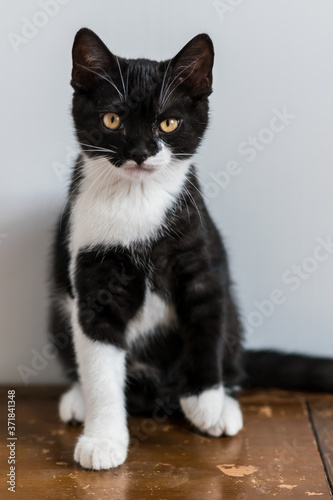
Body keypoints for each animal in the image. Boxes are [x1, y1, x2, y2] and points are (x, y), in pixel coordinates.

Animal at [49, 29, 332, 470]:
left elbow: (206, 325)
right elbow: (99, 364)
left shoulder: (202, 259)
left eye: (169, 122)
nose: (141, 152)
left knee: (233, 358)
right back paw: (79, 400)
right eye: (112, 120)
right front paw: (103, 438)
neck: (138, 200)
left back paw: (223, 405)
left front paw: (205, 402)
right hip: (59, 308)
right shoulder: (93, 272)